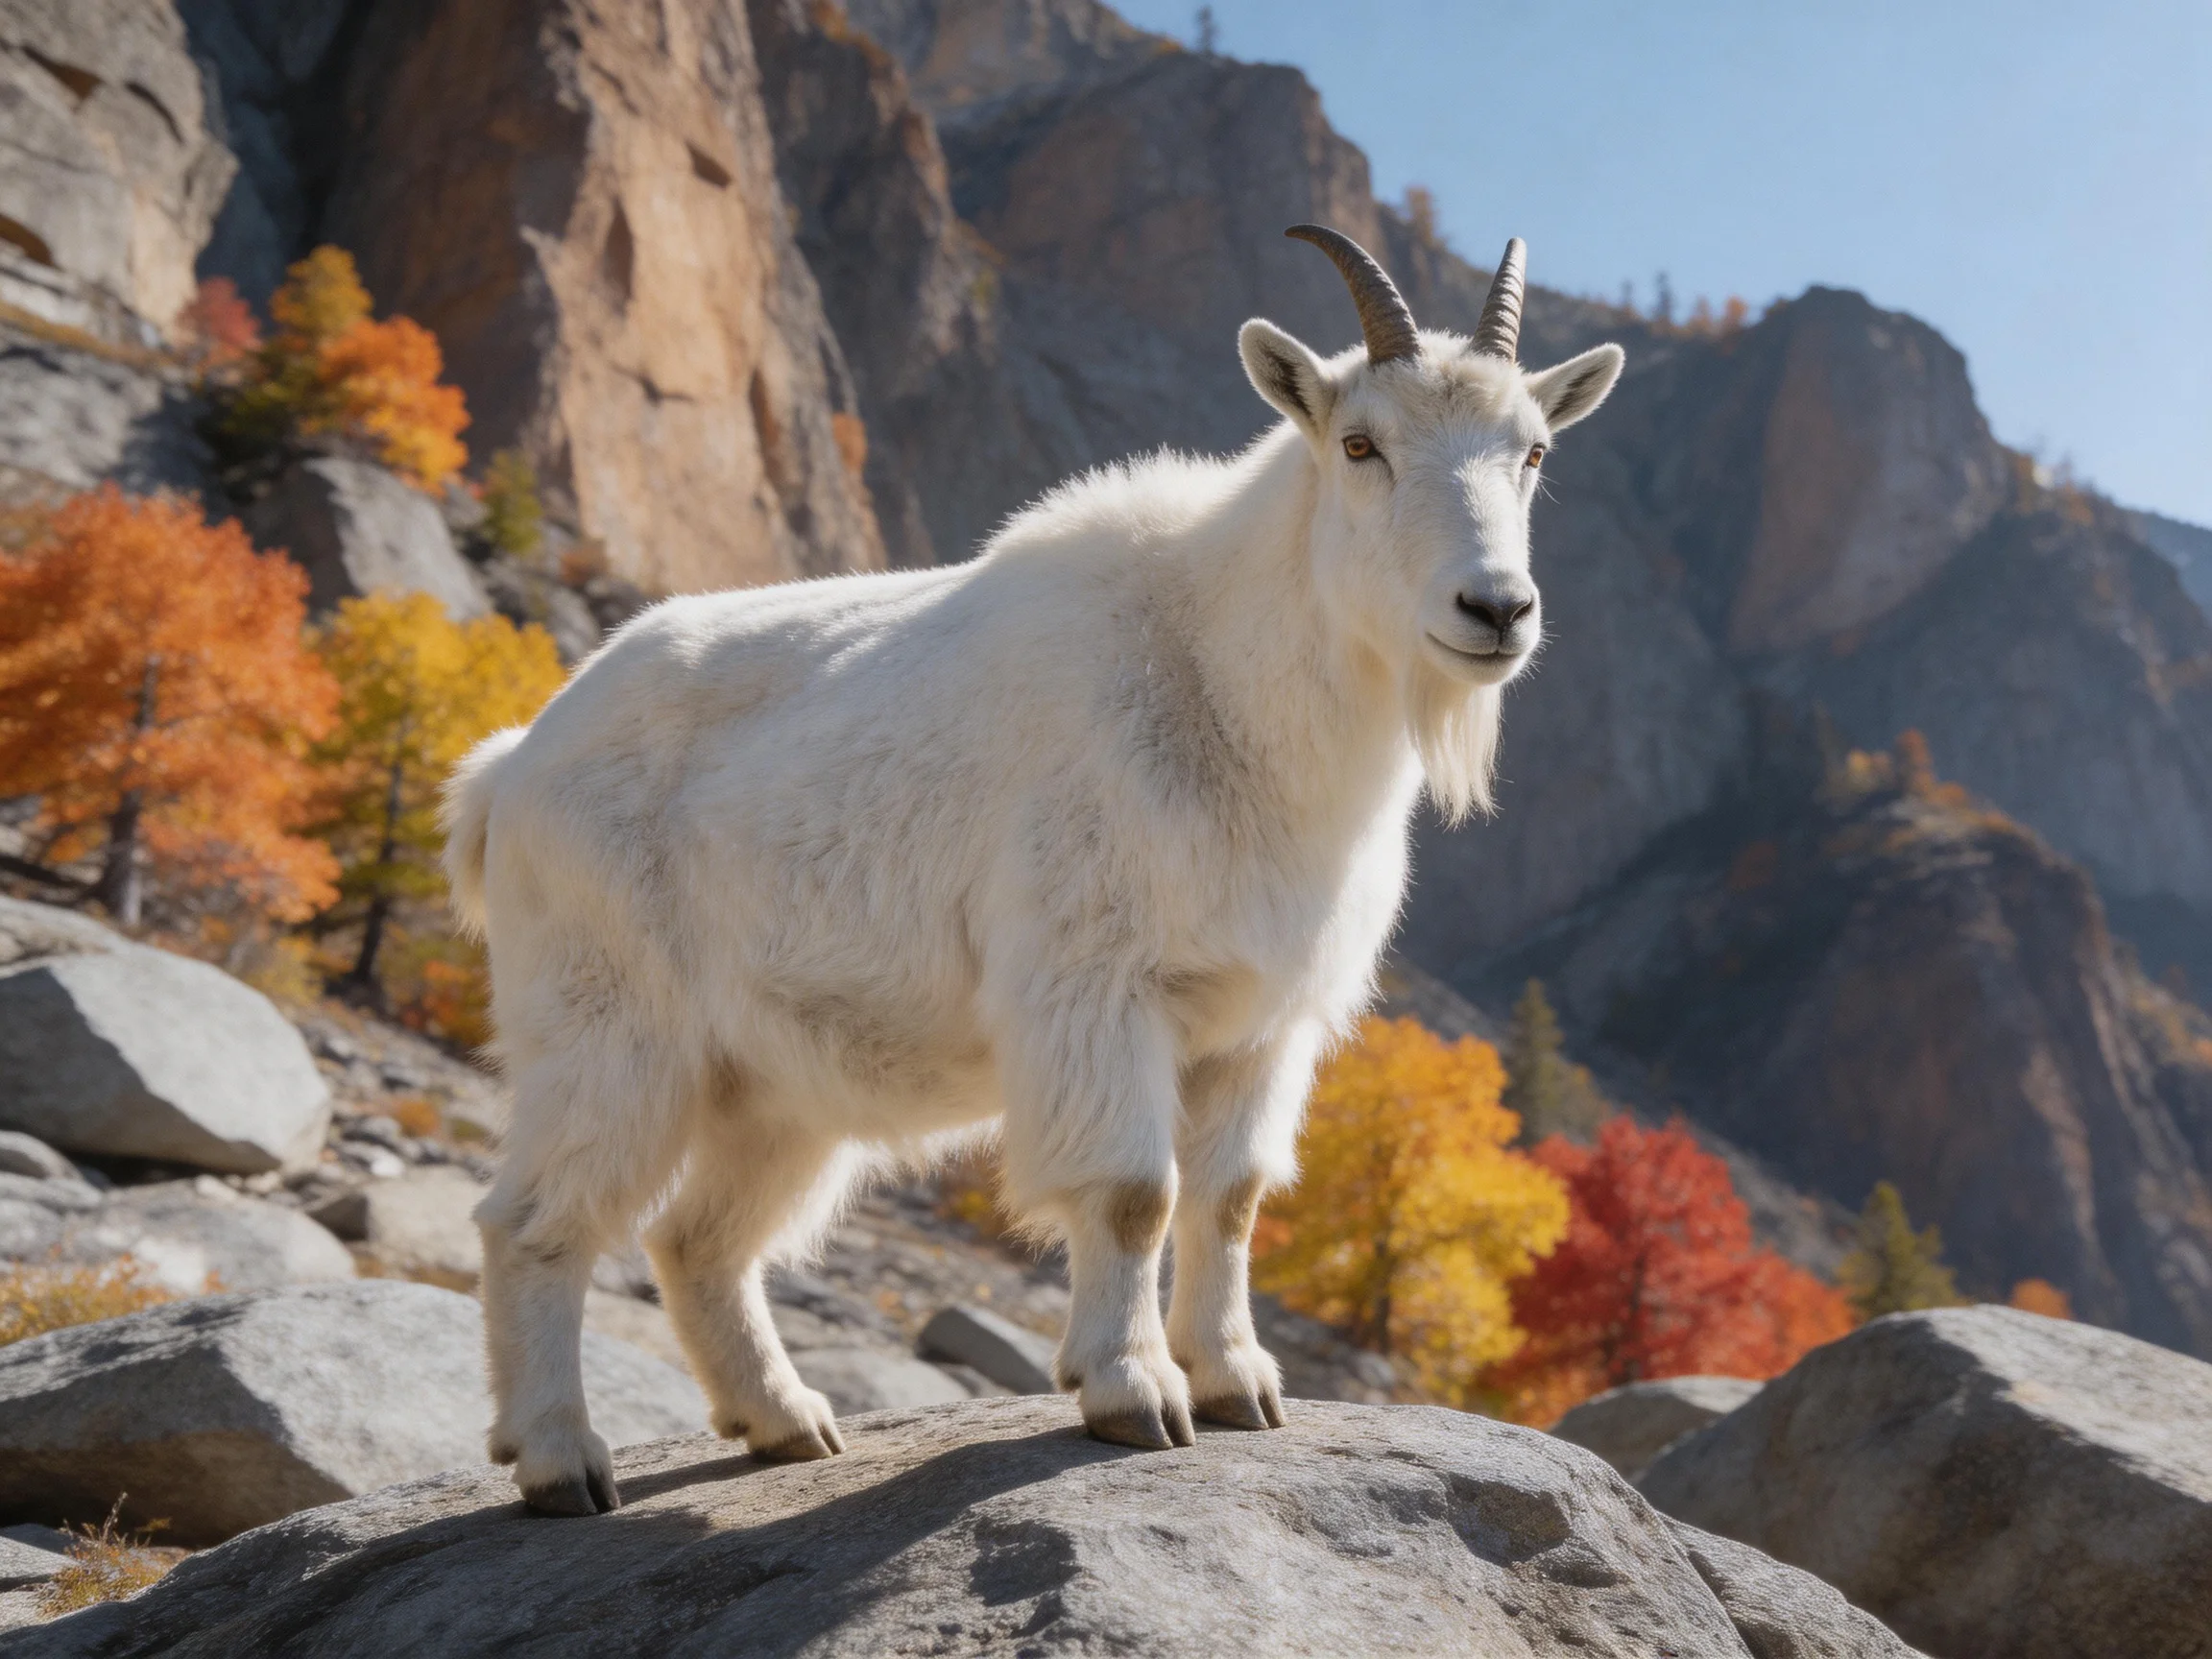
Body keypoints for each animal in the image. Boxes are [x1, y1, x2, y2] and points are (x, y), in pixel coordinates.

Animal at [443, 226, 1624, 1513]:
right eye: (1361, 444)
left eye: (1535, 451)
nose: (1495, 609)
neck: (1224, 681)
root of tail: (509, 769)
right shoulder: (1095, 984)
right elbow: (1136, 1192)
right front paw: (1133, 1395)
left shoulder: (1262, 1026)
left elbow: (1233, 1197)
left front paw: (1239, 1385)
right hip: (610, 1028)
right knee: (532, 1219)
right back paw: (563, 1459)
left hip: (772, 1084)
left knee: (698, 1237)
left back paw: (788, 1423)